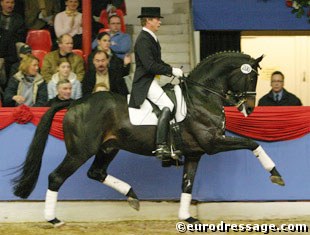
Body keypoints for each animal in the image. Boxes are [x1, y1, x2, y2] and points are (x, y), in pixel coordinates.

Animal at [12, 51, 284, 226]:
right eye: (252, 77)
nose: (250, 108)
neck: (202, 95)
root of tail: (74, 102)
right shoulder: (213, 143)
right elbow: (253, 143)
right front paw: (276, 174)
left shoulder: (195, 153)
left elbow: (187, 185)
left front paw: (187, 217)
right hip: (80, 151)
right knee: (56, 177)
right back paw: (53, 219)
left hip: (108, 148)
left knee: (96, 173)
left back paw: (132, 196)